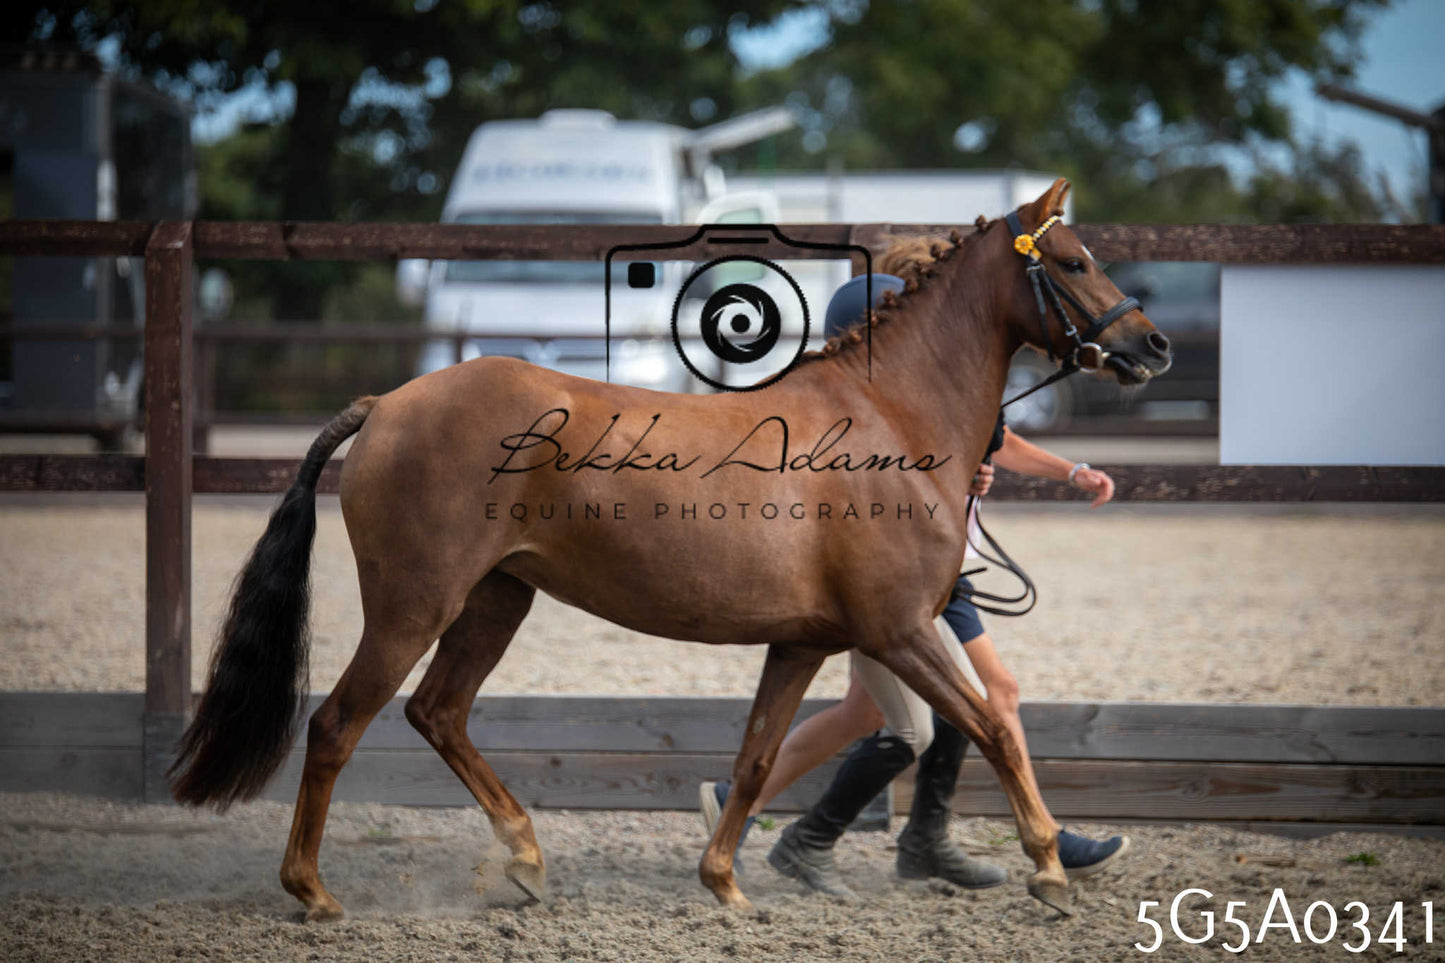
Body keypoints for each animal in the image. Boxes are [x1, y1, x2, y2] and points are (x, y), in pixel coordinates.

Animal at [168, 178, 1171, 921]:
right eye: (1074, 261)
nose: (1150, 343)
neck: (889, 420)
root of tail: (387, 403)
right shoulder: (899, 631)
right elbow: (994, 726)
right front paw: (1049, 868)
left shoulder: (802, 642)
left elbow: (758, 758)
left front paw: (724, 883)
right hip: (414, 606)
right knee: (339, 724)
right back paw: (313, 890)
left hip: (497, 598)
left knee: (438, 713)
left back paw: (525, 859)